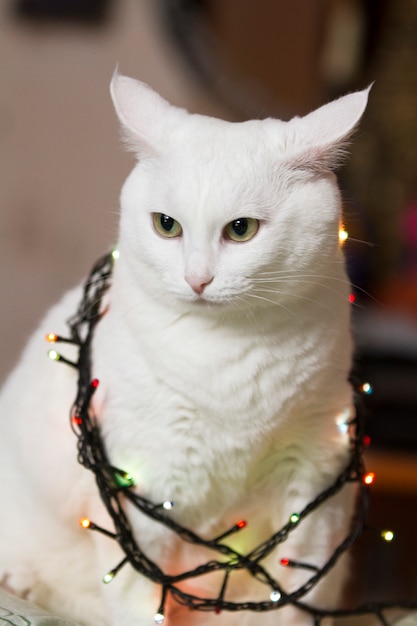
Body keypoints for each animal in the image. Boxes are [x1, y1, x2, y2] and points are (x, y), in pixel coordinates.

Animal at [0, 74, 368, 624]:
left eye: (241, 229)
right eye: (166, 225)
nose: (198, 279)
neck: (231, 356)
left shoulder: (316, 481)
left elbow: (298, 594)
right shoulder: (147, 490)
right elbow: (142, 600)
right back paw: (22, 582)